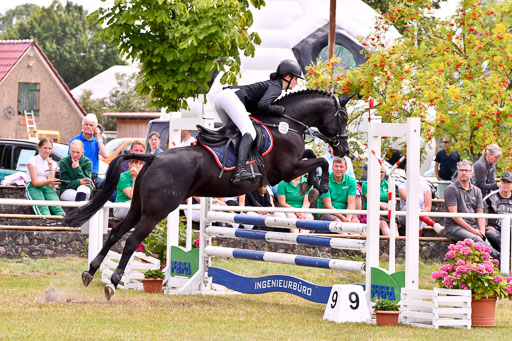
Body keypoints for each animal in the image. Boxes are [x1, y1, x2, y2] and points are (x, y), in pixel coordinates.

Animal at [65, 89, 348, 298]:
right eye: (343, 117)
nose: (343, 149)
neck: (285, 124)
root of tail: (153, 158)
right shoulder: (287, 170)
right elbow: (319, 160)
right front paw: (319, 186)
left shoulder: (290, 167)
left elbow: (312, 155)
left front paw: (311, 185)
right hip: (157, 211)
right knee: (133, 240)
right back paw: (113, 282)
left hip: (138, 207)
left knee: (116, 233)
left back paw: (91, 272)